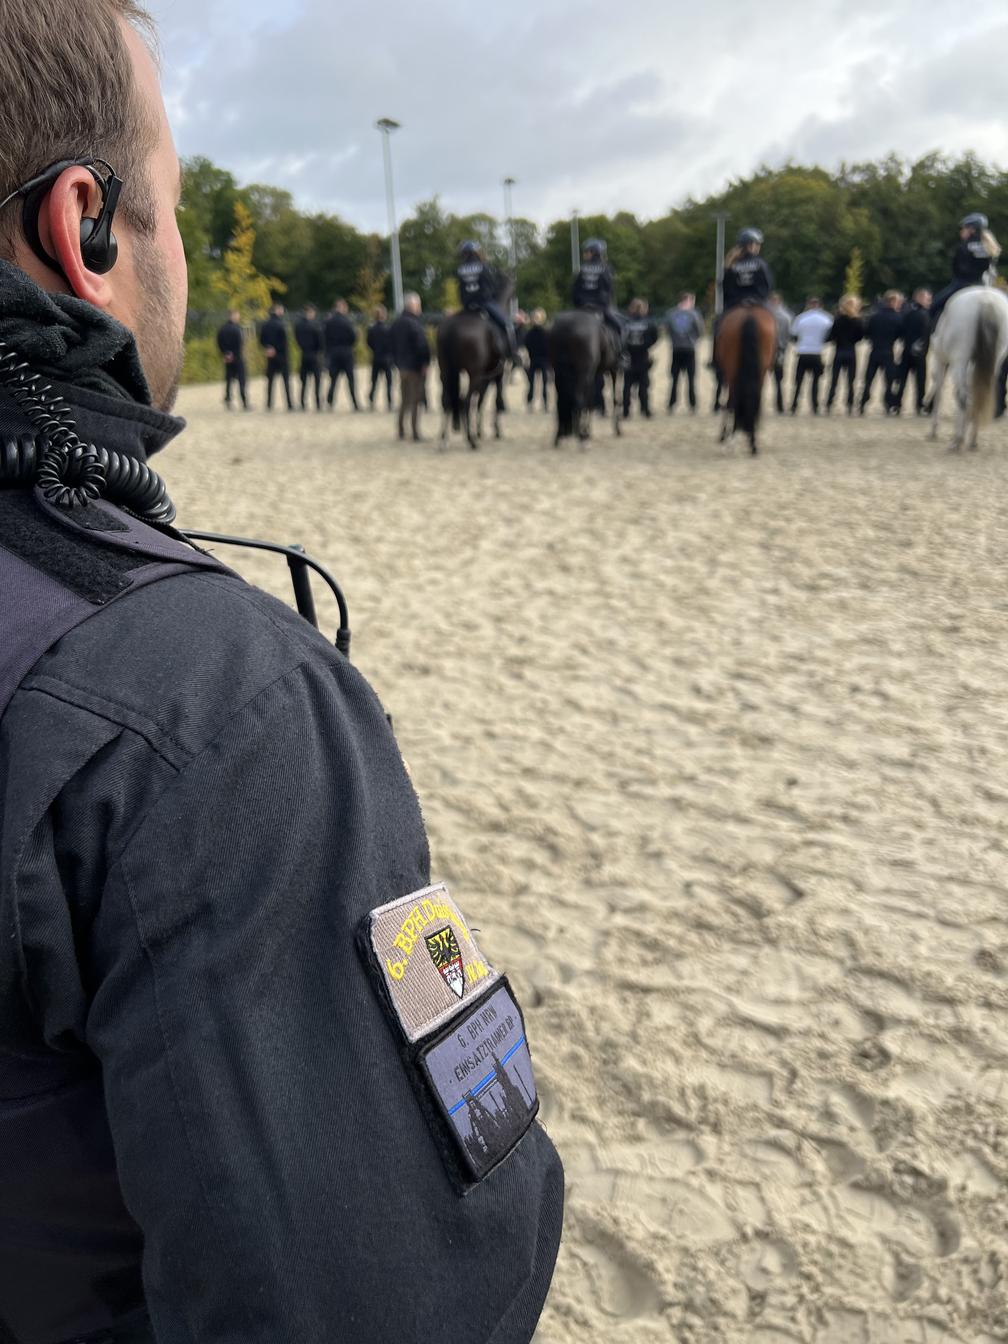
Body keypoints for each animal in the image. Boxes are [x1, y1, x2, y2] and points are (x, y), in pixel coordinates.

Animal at [435, 275, 513, 448]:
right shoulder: (497, 374)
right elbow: (495, 400)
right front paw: (494, 431)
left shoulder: (486, 377)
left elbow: (480, 401)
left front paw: (479, 430)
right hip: (474, 375)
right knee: (465, 401)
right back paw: (471, 440)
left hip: (446, 372)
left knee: (448, 400)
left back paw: (444, 440)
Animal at [548, 309, 620, 446]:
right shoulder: (609, 371)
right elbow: (608, 399)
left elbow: (589, 401)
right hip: (584, 374)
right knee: (579, 399)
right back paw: (582, 438)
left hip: (560, 373)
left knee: (562, 400)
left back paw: (559, 436)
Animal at [715, 303, 779, 451]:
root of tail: (749, 314)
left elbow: (726, 402)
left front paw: (724, 435)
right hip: (759, 371)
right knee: (753, 399)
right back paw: (752, 442)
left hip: (732, 372)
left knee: (733, 401)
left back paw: (733, 440)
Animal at [930, 283, 1008, 451]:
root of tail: (986, 301)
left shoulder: (941, 360)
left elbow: (939, 392)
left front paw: (933, 431)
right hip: (992, 362)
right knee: (978, 395)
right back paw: (972, 440)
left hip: (959, 360)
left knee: (962, 397)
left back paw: (957, 441)